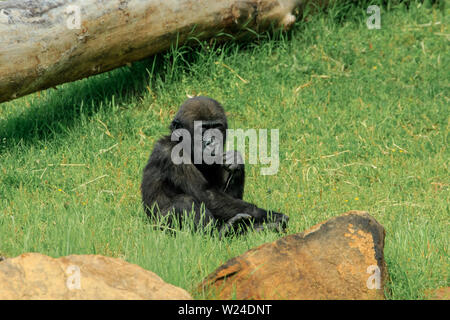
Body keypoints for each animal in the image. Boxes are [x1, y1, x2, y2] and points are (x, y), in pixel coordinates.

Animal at [141, 96, 288, 236]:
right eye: (203, 129)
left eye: (217, 128)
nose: (212, 141)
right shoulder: (172, 154)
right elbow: (207, 194)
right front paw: (271, 215)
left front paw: (236, 161)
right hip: (158, 227)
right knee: (184, 202)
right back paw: (219, 232)